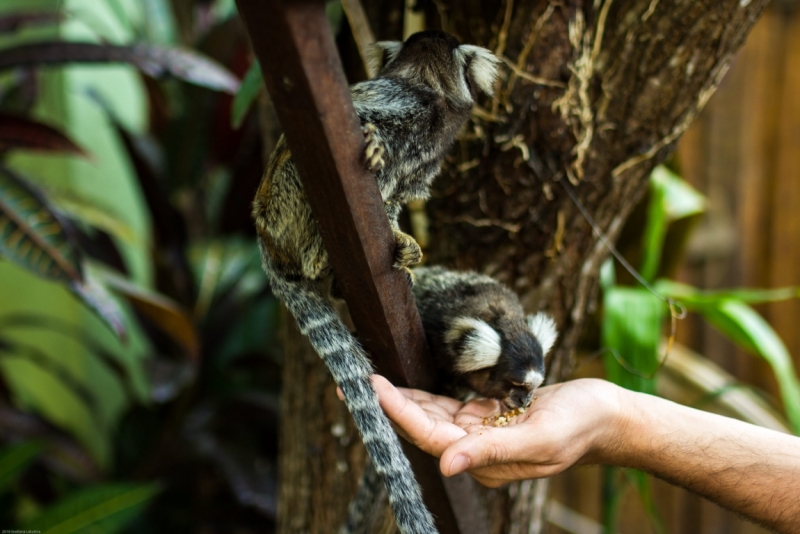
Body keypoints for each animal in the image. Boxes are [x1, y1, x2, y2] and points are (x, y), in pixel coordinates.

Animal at [252, 32, 500, 534]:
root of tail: (267, 242)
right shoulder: (398, 104)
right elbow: (363, 121)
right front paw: (372, 145)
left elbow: (398, 198)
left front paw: (406, 245)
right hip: (286, 207)